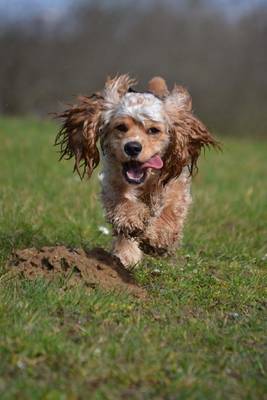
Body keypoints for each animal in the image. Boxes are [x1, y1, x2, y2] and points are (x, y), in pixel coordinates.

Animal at [55, 76, 219, 268]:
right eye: (121, 127)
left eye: (153, 130)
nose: (132, 147)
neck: (146, 181)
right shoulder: (113, 181)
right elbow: (123, 206)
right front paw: (129, 234)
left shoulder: (176, 185)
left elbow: (170, 210)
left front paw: (158, 237)